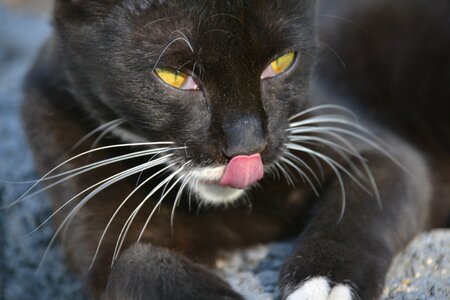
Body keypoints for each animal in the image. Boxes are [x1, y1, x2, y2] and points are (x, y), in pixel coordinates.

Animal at [22, 0, 450, 298]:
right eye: (174, 76)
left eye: (281, 62)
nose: (247, 146)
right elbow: (134, 262)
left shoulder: (376, 147)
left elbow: (360, 208)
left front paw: (325, 282)